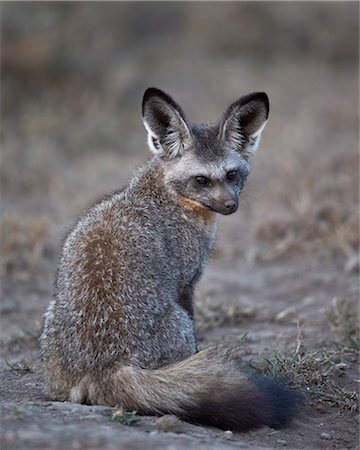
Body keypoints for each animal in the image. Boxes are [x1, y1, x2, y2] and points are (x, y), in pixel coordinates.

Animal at [39, 86, 300, 430]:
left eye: (232, 175)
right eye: (201, 180)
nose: (231, 206)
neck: (163, 195)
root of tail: (104, 365)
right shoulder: (186, 283)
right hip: (179, 324)